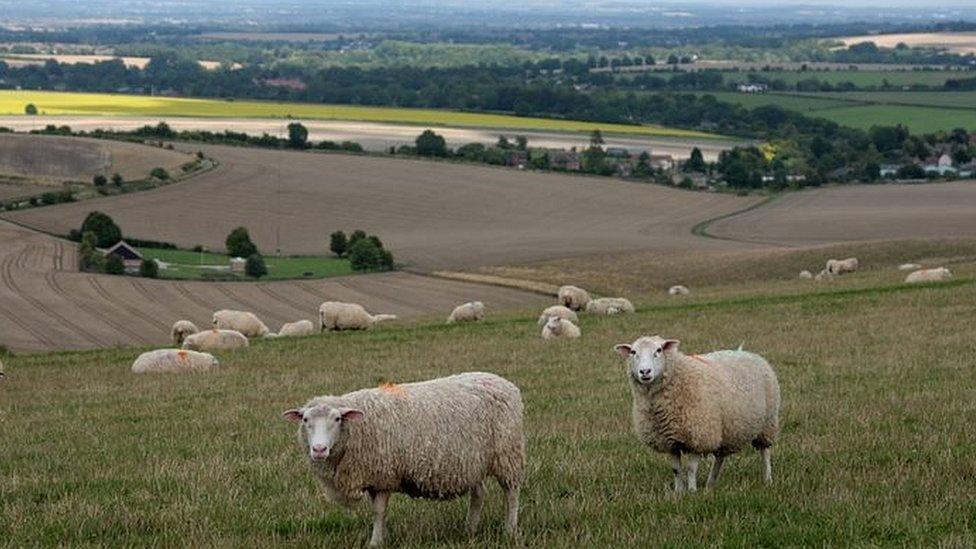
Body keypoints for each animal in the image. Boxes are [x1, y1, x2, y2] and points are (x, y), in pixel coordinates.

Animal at [282, 370, 528, 544]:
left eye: (337, 419)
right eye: (305, 420)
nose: (319, 449)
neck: (357, 429)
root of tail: (505, 383)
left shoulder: (383, 475)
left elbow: (379, 511)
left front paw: (375, 542)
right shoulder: (374, 476)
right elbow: (379, 512)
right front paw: (382, 537)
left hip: (508, 453)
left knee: (511, 493)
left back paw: (510, 530)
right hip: (471, 461)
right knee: (478, 494)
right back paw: (470, 530)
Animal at [612, 334, 780, 492]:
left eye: (658, 350)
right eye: (633, 352)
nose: (645, 372)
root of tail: (746, 352)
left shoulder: (698, 436)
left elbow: (691, 469)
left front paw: (692, 491)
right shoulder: (670, 440)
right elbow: (676, 469)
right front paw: (678, 492)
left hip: (768, 422)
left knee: (765, 452)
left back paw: (767, 479)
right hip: (724, 429)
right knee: (720, 457)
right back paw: (710, 484)